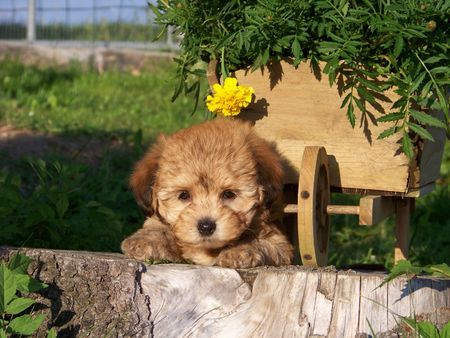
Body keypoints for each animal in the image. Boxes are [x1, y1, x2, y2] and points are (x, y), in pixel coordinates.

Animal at [121, 117, 294, 268]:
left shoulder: (279, 243)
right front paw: (145, 241)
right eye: (184, 195)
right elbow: (158, 226)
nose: (206, 226)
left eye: (229, 194)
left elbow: (262, 242)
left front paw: (241, 250)